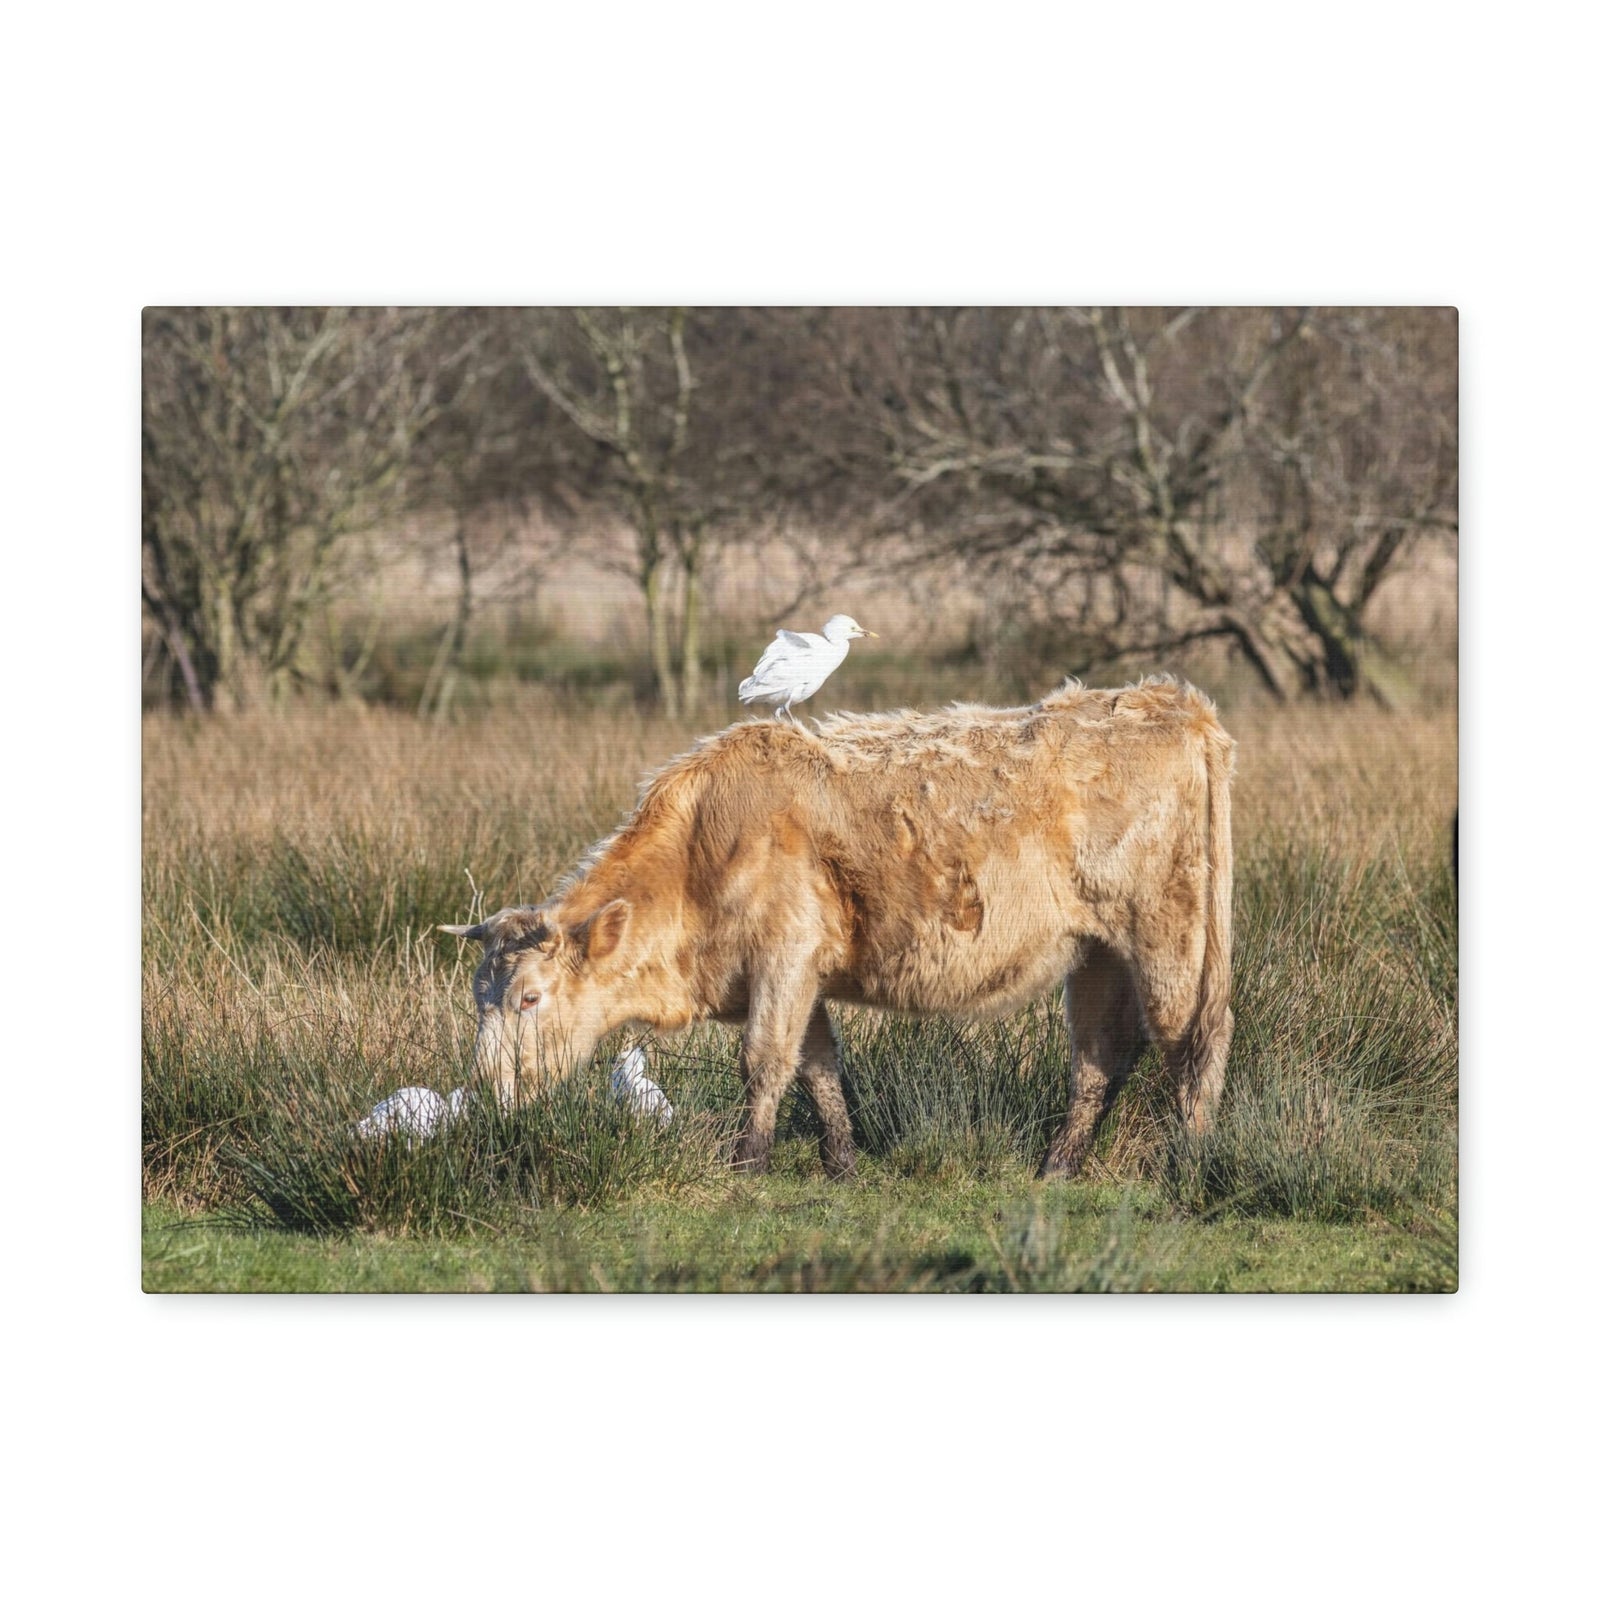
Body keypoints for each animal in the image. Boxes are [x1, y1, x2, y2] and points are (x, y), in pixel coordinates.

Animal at [442, 676, 1236, 1180]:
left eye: (531, 998)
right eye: (479, 1000)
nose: (484, 1093)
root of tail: (1174, 702)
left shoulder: (785, 958)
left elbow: (765, 1060)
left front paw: (747, 1162)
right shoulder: (801, 977)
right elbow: (819, 1067)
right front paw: (842, 1162)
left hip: (1170, 936)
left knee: (1193, 1039)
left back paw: (1189, 1160)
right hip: (1098, 952)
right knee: (1100, 1056)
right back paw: (1057, 1165)